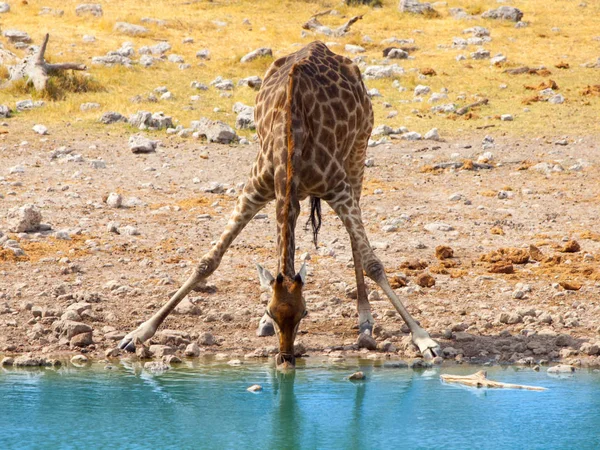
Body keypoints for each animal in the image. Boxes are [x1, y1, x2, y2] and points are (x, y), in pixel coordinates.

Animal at [119, 40, 440, 366]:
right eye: (271, 312)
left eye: (305, 313)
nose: (286, 358)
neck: (290, 143)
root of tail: (320, 45)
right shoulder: (254, 188)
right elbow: (207, 262)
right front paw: (137, 334)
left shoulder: (338, 188)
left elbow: (373, 263)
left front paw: (423, 339)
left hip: (358, 152)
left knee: (355, 245)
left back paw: (365, 321)